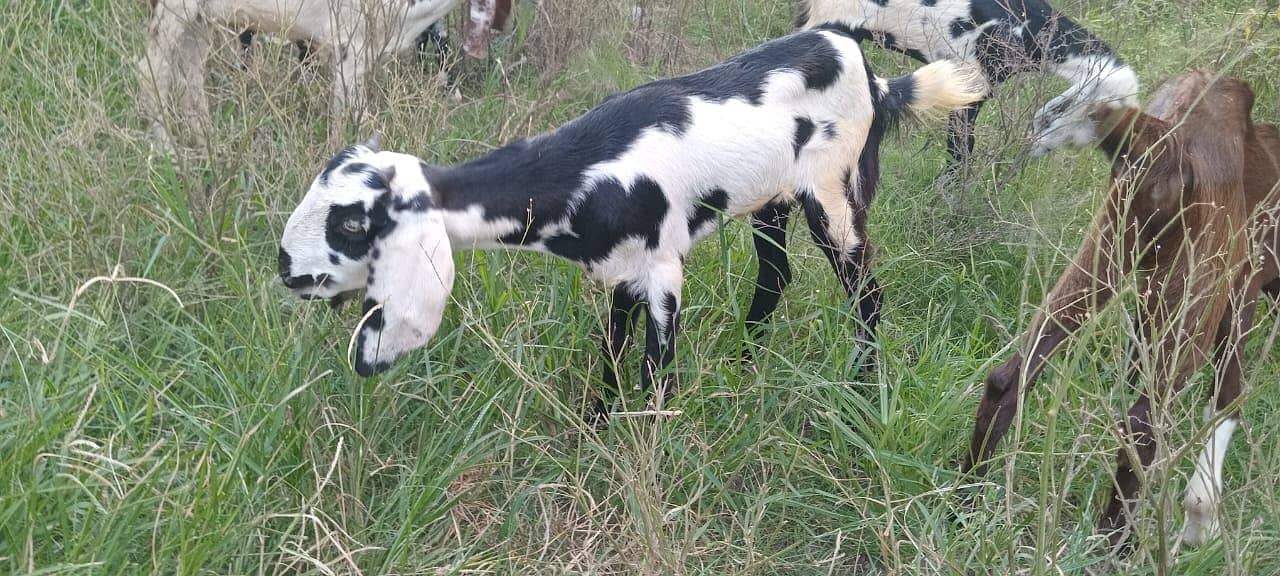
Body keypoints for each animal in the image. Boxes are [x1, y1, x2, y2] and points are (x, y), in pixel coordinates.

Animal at [138, 0, 509, 143]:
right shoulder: (351, 44)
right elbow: (352, 116)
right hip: (171, 10)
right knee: (152, 71)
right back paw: (165, 151)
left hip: (200, 18)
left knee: (190, 76)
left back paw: (205, 142)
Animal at [275, 27, 983, 412]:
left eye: (353, 224)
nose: (286, 270)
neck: (587, 172)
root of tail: (875, 75)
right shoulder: (619, 267)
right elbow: (611, 353)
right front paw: (595, 426)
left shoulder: (663, 268)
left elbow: (654, 370)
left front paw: (649, 450)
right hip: (770, 202)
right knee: (776, 277)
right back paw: (744, 364)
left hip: (835, 192)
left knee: (866, 291)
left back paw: (862, 387)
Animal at [962, 72, 1274, 547]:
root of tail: (1164, 135)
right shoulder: (1240, 292)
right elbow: (1226, 401)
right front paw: (1201, 524)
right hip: (1191, 302)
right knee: (1144, 424)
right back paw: (1115, 545)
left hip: (1107, 251)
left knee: (1008, 376)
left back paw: (963, 499)